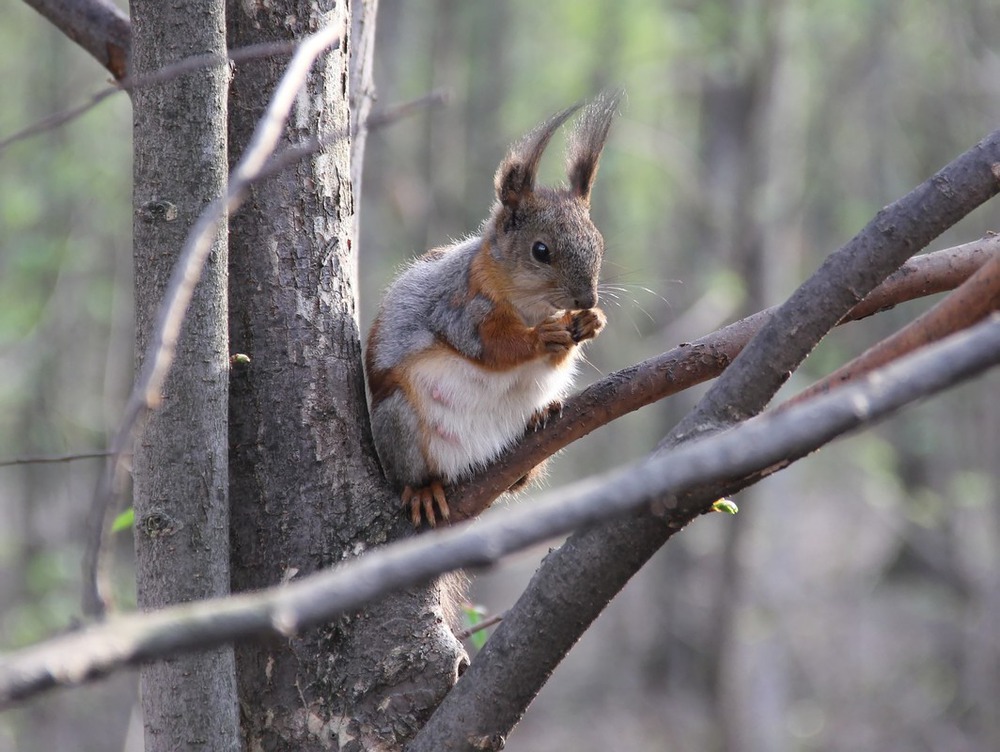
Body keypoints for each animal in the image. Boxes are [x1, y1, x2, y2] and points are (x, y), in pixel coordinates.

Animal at [364, 92, 620, 528]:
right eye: (540, 250)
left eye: (599, 243)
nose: (587, 300)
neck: (531, 306)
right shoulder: (460, 307)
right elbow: (492, 347)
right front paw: (542, 337)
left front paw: (590, 323)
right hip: (399, 424)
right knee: (413, 470)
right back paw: (423, 490)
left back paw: (539, 417)